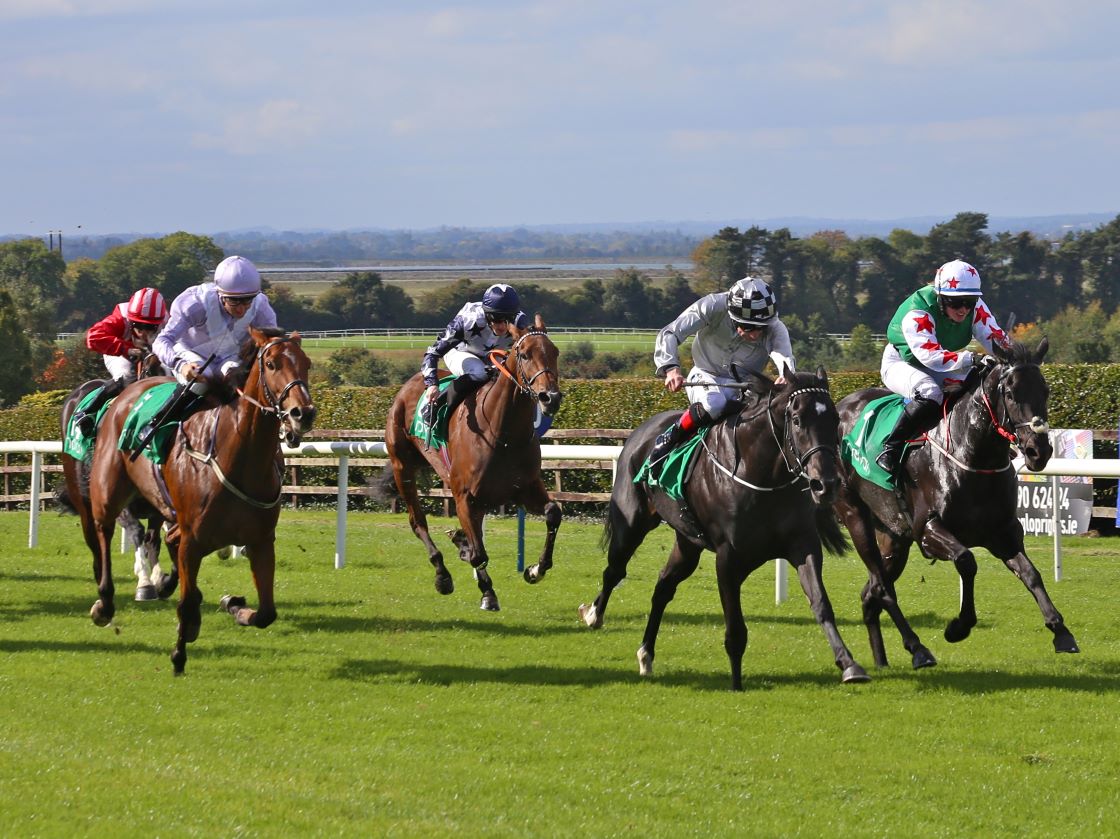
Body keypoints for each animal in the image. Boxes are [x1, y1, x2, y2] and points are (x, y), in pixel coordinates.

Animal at [58, 349, 175, 600]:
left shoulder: (159, 503)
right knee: (94, 541)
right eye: (151, 372)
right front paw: (145, 583)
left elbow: (154, 538)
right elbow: (137, 532)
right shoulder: (116, 502)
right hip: (83, 500)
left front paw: (159, 578)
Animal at [75, 329, 315, 672]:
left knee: (166, 539)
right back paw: (105, 602)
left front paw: (233, 605)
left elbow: (266, 613)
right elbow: (186, 603)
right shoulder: (193, 540)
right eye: (271, 363)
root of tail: (128, 392)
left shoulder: (260, 541)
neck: (239, 457)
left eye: (306, 363)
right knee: (104, 532)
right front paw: (179, 655)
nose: (303, 413)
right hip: (108, 491)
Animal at [385, 313, 564, 609]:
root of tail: (411, 383)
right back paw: (442, 574)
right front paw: (487, 593)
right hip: (403, 467)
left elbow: (553, 513)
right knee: (417, 521)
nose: (550, 397)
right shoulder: (465, 496)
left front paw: (535, 570)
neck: (504, 434)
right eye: (524, 354)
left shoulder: (524, 488)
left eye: (555, 352)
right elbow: (479, 554)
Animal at [577, 369, 864, 690]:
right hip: (632, 523)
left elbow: (821, 603)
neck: (763, 477)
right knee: (614, 570)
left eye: (835, 420)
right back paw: (593, 614)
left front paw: (849, 664)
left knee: (663, 587)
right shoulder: (728, 558)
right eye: (798, 419)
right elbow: (735, 626)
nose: (826, 484)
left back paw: (646, 654)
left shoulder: (803, 545)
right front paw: (736, 682)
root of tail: (641, 432)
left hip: (687, 542)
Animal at [833, 336, 1075, 672]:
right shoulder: (928, 529)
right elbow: (967, 561)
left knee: (871, 593)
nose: (1038, 451)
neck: (971, 455)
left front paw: (1061, 631)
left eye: (1046, 391)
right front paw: (959, 626)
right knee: (881, 587)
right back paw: (918, 650)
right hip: (854, 514)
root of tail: (841, 404)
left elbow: (1030, 574)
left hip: (894, 537)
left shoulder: (1003, 532)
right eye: (1011, 393)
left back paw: (883, 660)